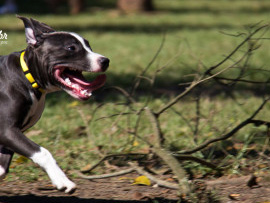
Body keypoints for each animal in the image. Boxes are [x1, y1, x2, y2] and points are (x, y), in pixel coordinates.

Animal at [0, 15, 108, 193]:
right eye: (71, 48)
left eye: (89, 46)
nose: (105, 61)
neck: (26, 75)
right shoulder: (7, 130)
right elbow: (43, 153)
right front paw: (63, 180)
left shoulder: (9, 135)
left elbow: (2, 169)